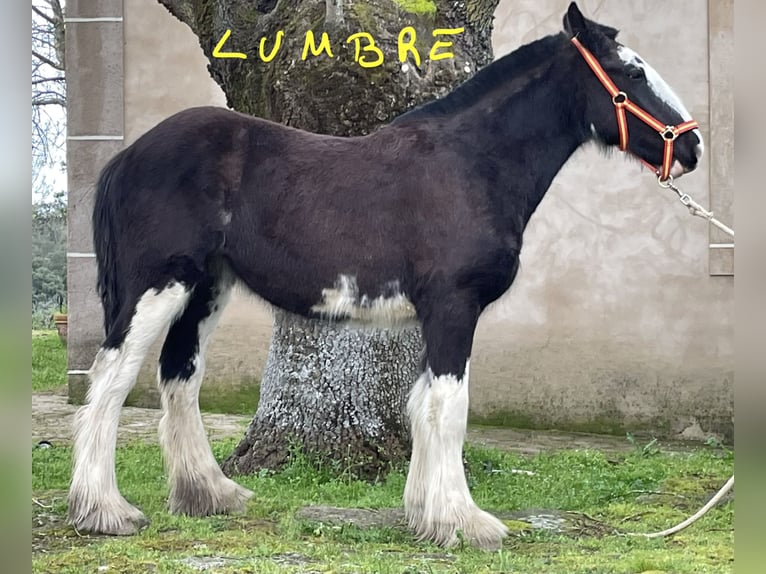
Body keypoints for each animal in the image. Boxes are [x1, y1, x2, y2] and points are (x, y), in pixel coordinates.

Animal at [68, 2, 703, 550]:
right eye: (631, 70)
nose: (693, 145)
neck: (470, 165)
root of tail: (128, 156)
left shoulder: (434, 315)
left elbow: (422, 405)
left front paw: (428, 514)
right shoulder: (453, 307)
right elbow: (450, 407)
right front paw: (464, 522)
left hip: (205, 289)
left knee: (180, 376)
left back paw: (209, 495)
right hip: (159, 285)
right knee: (112, 379)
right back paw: (106, 511)